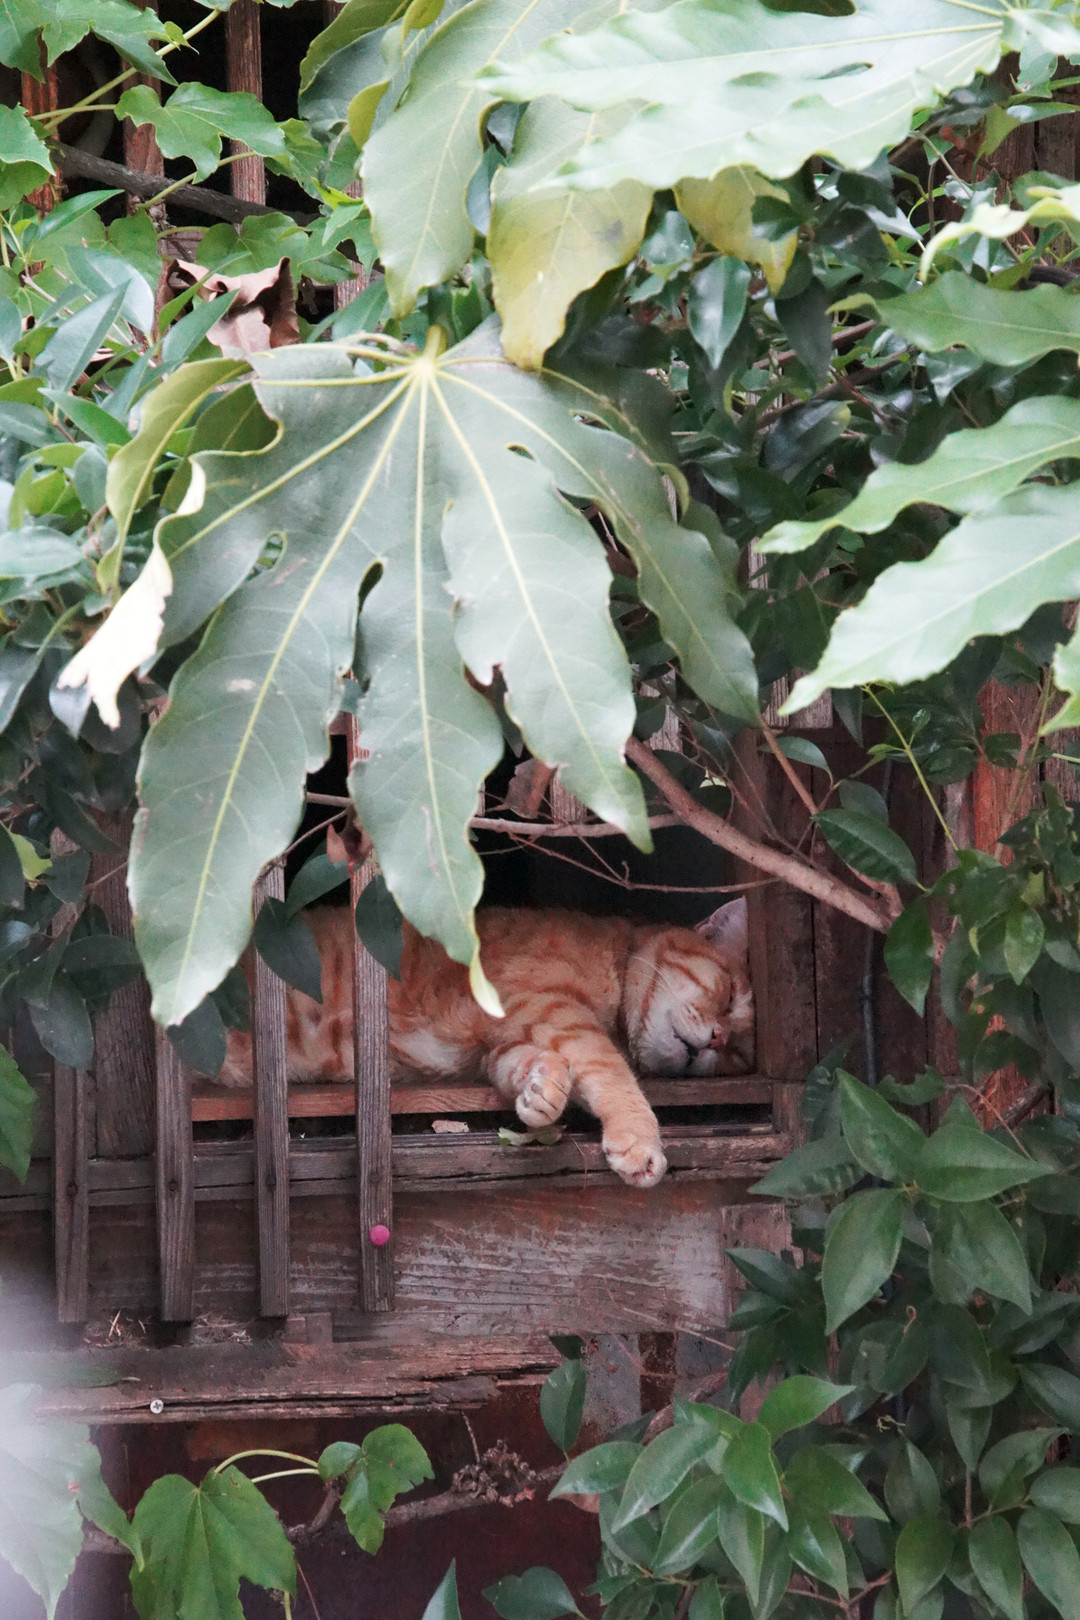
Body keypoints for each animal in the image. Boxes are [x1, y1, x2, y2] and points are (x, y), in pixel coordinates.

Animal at [221, 899, 752, 1190]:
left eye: (737, 1053)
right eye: (727, 996)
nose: (716, 1039)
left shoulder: (505, 1040)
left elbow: (537, 1066)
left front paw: (541, 1092)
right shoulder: (552, 1007)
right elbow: (608, 1067)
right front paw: (640, 1139)